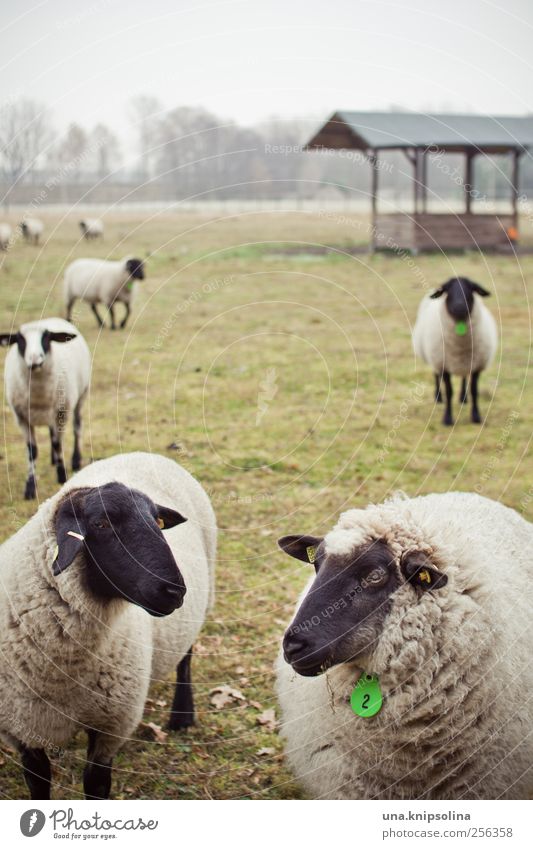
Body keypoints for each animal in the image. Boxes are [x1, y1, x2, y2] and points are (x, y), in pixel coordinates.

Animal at [0, 322, 90, 500]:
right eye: (20, 339)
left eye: (46, 337)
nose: (35, 359)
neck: (38, 396)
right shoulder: (21, 418)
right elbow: (32, 451)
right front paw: (29, 488)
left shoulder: (61, 412)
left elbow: (57, 444)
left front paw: (62, 476)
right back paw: (53, 459)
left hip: (81, 396)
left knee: (77, 428)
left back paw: (75, 460)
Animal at [0, 448, 217, 800]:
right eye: (100, 524)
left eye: (158, 522)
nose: (174, 591)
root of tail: (142, 452)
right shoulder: (22, 729)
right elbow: (38, 783)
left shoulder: (111, 725)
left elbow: (97, 784)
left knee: (186, 656)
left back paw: (182, 716)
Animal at [414, 276, 496, 424]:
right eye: (447, 289)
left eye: (471, 288)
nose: (459, 307)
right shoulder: (443, 365)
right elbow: (449, 391)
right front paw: (447, 418)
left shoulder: (476, 366)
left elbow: (474, 390)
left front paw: (476, 416)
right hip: (434, 358)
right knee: (436, 375)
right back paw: (438, 397)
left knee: (464, 378)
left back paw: (463, 398)